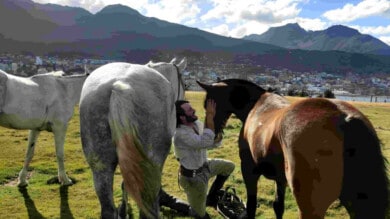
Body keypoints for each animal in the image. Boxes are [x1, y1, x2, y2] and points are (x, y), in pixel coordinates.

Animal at [197, 79, 388, 219]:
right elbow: (278, 206)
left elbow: (251, 206)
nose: (213, 134)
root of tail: (344, 118)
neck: (257, 106)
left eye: (208, 105)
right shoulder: (280, 178)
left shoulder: (249, 170)